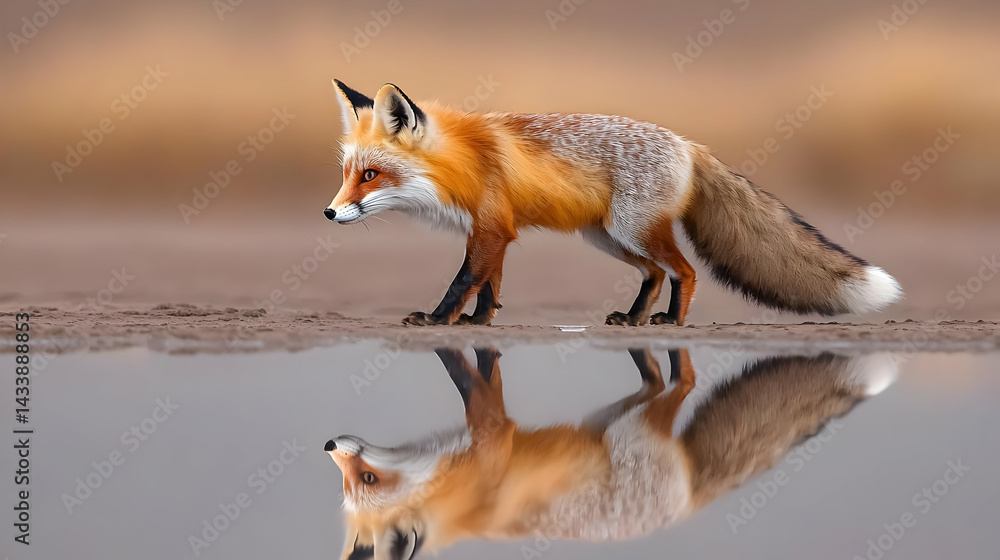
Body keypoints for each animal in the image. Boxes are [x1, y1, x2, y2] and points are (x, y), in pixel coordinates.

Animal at [323, 80, 903, 326]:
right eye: (348, 173)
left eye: (372, 176)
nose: (328, 213)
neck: (465, 160)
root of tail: (689, 145)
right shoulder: (494, 230)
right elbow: (489, 285)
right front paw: (479, 322)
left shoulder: (490, 228)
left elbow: (463, 280)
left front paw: (439, 319)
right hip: (608, 238)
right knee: (656, 273)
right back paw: (634, 316)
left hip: (629, 230)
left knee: (685, 271)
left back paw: (669, 323)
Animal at [324, 347, 899, 559]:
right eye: (348, 483)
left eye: (368, 478)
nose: (328, 443)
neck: (460, 491)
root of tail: (687, 504)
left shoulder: (495, 436)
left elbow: (476, 386)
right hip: (612, 418)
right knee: (662, 385)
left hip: (628, 426)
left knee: (682, 383)